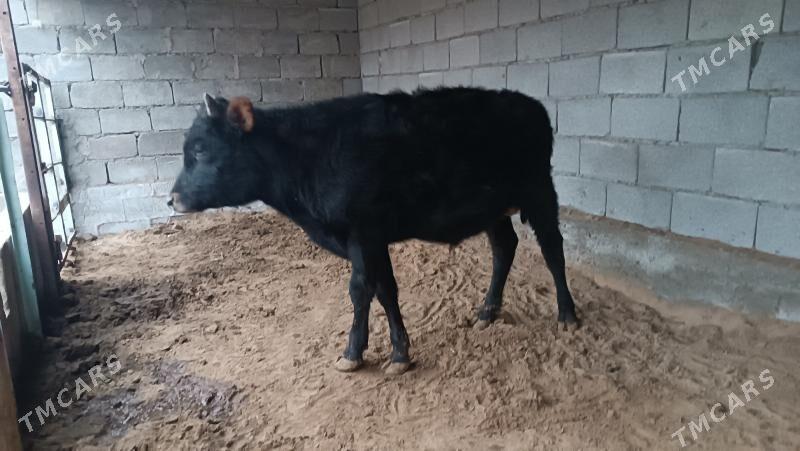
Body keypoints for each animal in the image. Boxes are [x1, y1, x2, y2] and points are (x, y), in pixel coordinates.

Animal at [168, 87, 579, 375]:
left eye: (201, 150)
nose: (173, 199)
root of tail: (529, 104)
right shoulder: (372, 239)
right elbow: (385, 290)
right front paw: (400, 353)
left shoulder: (363, 232)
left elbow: (360, 290)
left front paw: (352, 353)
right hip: (493, 208)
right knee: (504, 248)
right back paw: (487, 312)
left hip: (539, 189)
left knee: (552, 248)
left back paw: (567, 314)